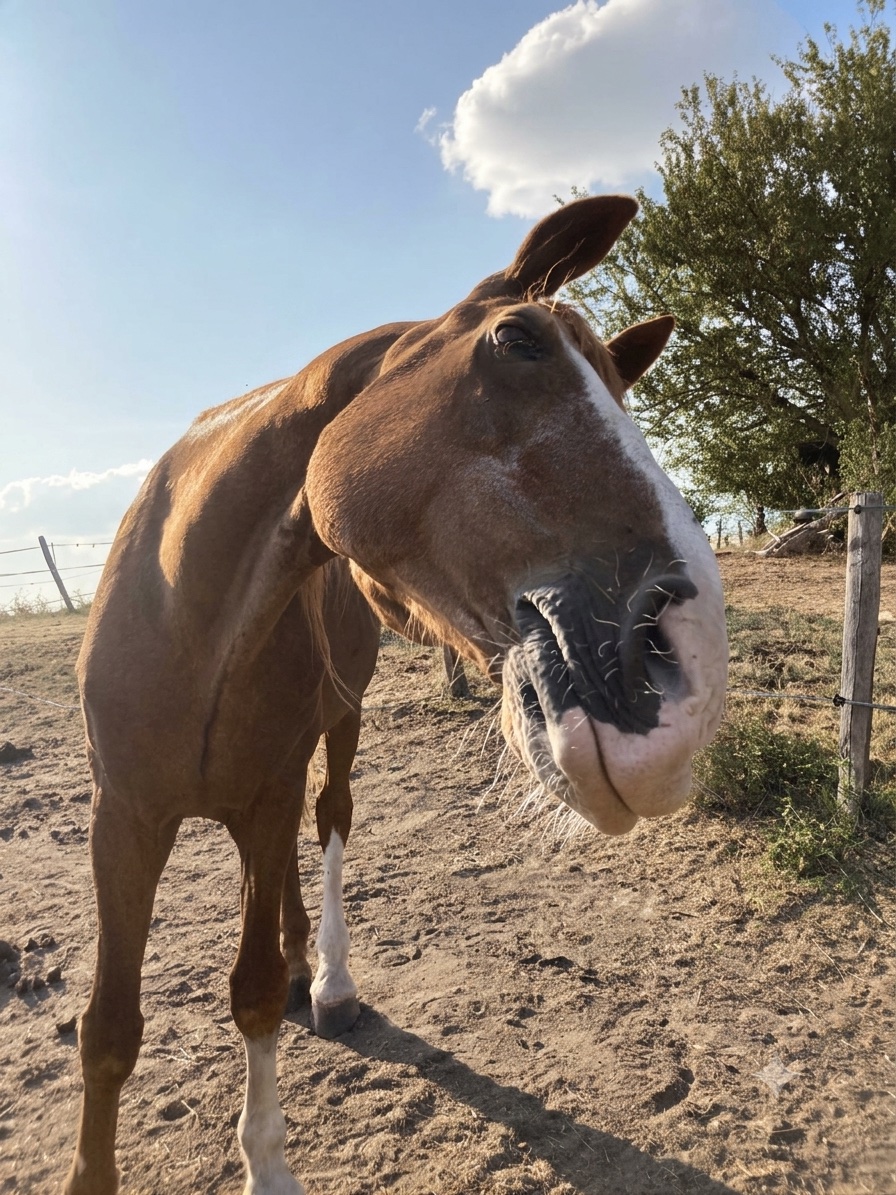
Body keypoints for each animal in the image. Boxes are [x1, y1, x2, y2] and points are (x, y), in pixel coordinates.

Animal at [63, 194, 728, 1195]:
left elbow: (252, 989)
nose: (686, 668)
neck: (192, 616)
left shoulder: (266, 796)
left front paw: (270, 1157)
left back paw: (327, 977)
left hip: (335, 728)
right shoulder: (123, 814)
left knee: (331, 819)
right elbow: (108, 1028)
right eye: (517, 340)